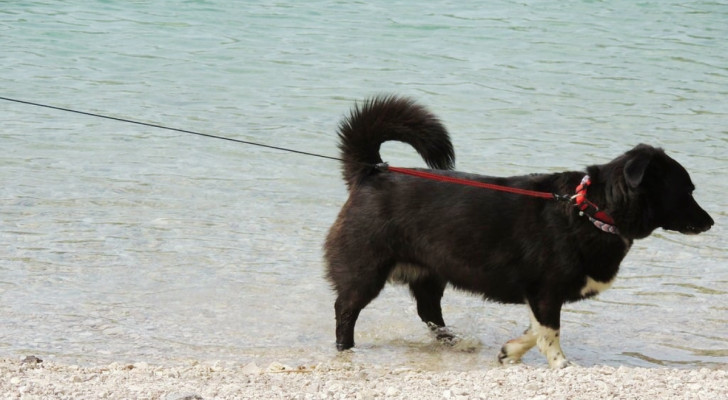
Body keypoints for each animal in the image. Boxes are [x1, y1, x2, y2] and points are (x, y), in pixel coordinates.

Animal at [322, 95, 712, 368]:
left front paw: (510, 352)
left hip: (430, 273)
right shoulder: (546, 291)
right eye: (687, 190)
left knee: (430, 313)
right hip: (365, 270)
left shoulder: (540, 296)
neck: (590, 209)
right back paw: (346, 349)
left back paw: (453, 342)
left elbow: (536, 329)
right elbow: (549, 331)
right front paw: (561, 365)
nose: (710, 223)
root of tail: (373, 171)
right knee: (345, 310)